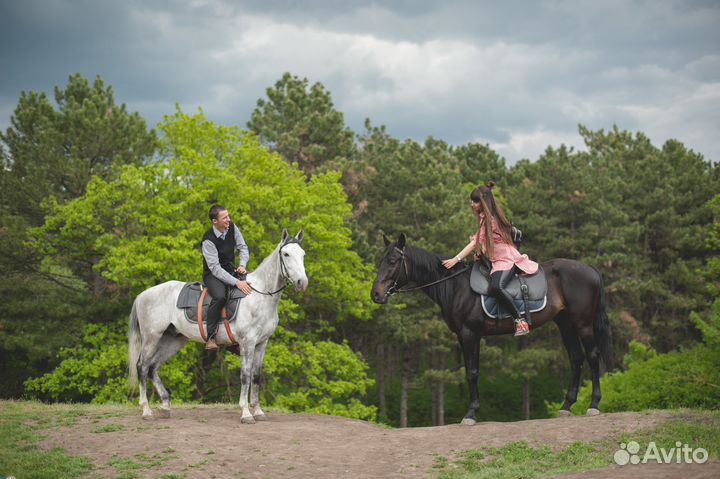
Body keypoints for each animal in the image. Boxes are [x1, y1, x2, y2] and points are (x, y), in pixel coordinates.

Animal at [129, 231, 306, 422]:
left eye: (303, 254)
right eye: (286, 254)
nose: (302, 282)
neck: (259, 295)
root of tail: (143, 295)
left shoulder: (261, 343)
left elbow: (256, 376)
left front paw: (258, 411)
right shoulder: (247, 343)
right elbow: (245, 376)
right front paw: (246, 413)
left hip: (173, 340)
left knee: (153, 367)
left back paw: (165, 405)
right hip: (152, 337)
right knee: (142, 366)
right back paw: (146, 410)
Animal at [372, 234, 612, 426]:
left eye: (392, 261)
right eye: (381, 260)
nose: (375, 294)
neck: (456, 287)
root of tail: (590, 269)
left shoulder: (470, 334)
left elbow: (472, 373)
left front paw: (470, 413)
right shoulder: (464, 336)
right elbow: (471, 371)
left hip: (582, 323)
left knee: (592, 356)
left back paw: (594, 404)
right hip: (565, 323)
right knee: (576, 357)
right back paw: (566, 406)